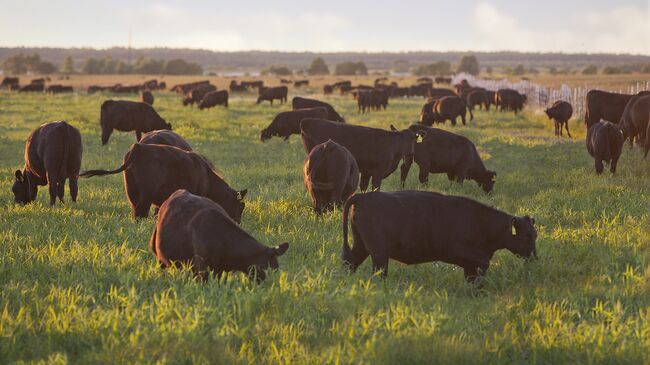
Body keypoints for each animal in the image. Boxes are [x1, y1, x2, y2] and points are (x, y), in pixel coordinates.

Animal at [78, 143, 246, 220]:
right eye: (241, 206)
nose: (238, 222)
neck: (206, 176)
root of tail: (138, 147)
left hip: (131, 190)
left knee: (136, 210)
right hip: (146, 193)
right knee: (141, 211)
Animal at [340, 189, 536, 280]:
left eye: (534, 235)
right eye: (526, 235)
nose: (534, 257)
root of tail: (363, 197)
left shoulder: (469, 263)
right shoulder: (462, 252)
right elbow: (483, 266)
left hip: (362, 246)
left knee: (350, 262)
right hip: (379, 254)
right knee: (378, 272)